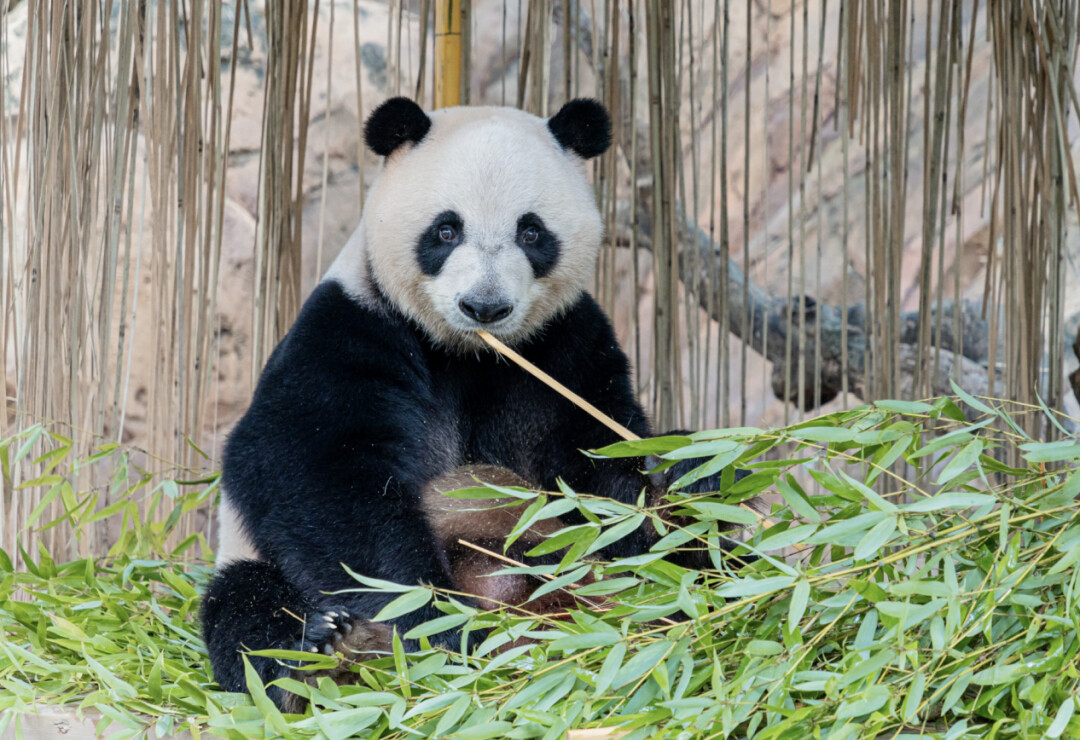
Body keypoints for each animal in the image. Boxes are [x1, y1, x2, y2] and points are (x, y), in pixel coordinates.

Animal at [200, 98, 751, 708]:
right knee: (248, 610)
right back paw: (327, 650)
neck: (469, 352)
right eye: (446, 229)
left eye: (531, 232)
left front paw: (680, 484)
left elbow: (598, 461)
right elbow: (310, 472)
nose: (484, 306)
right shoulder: (348, 331)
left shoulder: (562, 345)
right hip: (254, 566)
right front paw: (431, 621)